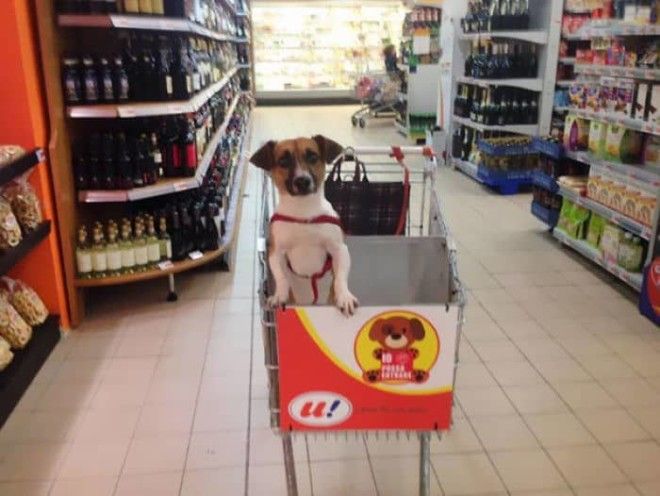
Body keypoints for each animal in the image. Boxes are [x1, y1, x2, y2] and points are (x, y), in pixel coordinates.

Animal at [250, 134, 358, 316]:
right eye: (283, 161)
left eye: (313, 157)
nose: (302, 181)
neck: (303, 212)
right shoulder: (276, 252)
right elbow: (281, 277)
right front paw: (279, 295)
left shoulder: (339, 249)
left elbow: (341, 277)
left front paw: (344, 296)